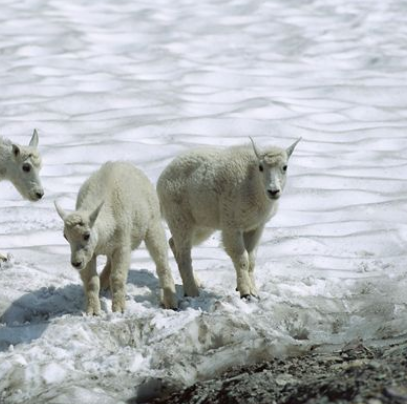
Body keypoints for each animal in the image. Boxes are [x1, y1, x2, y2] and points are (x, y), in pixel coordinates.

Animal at [54, 161, 177, 316]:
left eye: (87, 235)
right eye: (65, 237)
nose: (76, 263)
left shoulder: (122, 247)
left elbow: (117, 278)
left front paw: (118, 309)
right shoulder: (91, 253)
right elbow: (91, 281)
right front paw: (93, 310)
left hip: (152, 225)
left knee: (161, 260)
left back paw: (170, 300)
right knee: (108, 264)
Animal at [158, 137, 302, 298]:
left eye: (285, 167)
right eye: (260, 167)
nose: (273, 191)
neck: (253, 185)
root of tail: (161, 179)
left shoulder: (255, 227)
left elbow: (251, 260)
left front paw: (254, 291)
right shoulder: (232, 224)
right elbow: (241, 258)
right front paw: (245, 291)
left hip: (201, 224)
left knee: (174, 244)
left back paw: (196, 282)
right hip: (179, 218)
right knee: (184, 255)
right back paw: (192, 291)